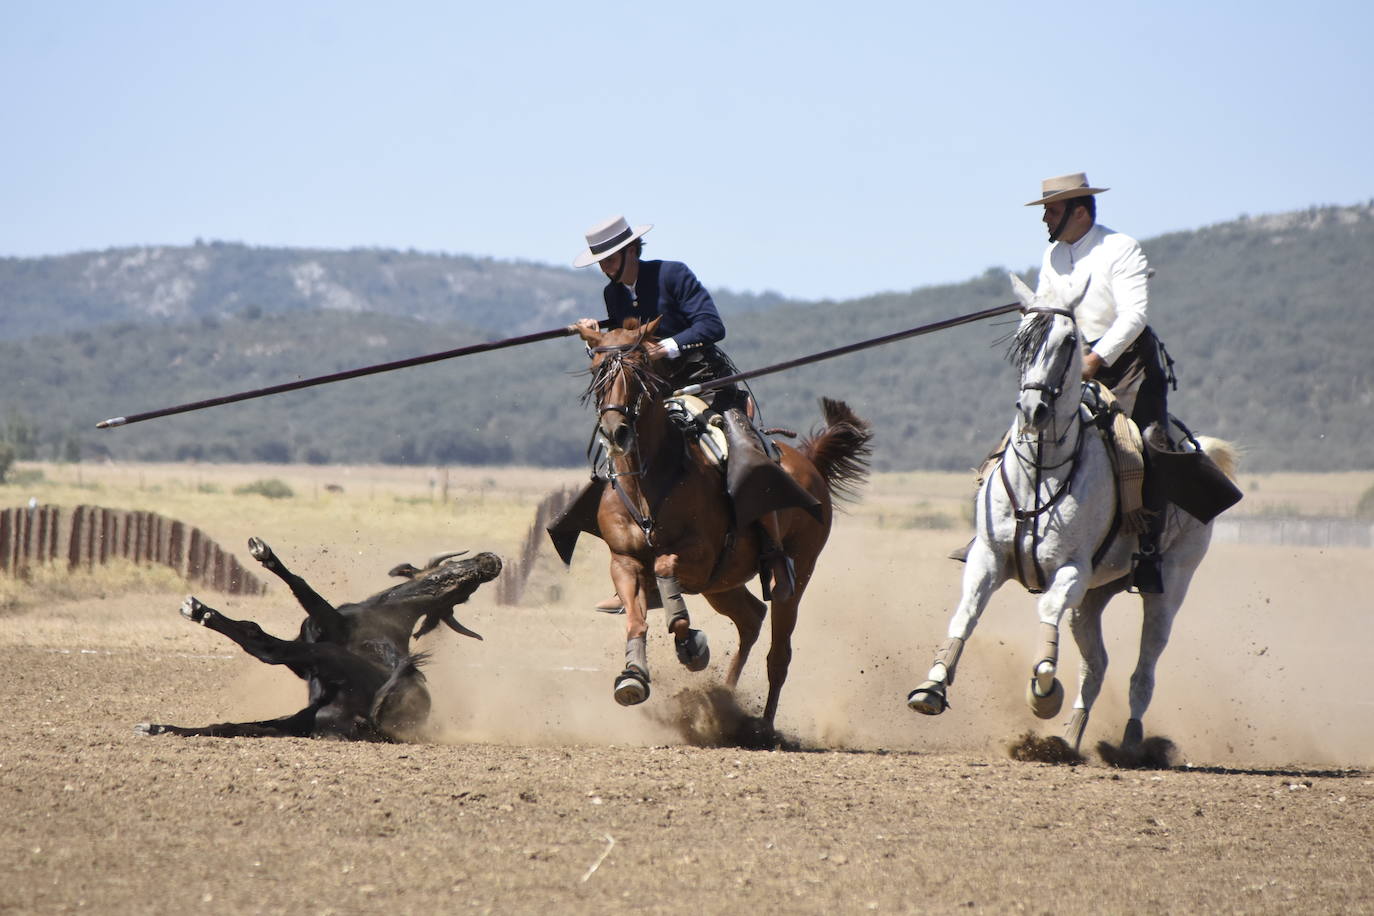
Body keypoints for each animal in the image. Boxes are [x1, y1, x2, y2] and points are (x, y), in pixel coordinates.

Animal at [136, 541, 502, 741]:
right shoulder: (308, 658)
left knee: (267, 646)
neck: (388, 613)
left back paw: (201, 612)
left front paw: (264, 553)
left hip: (327, 661)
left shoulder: (331, 625)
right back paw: (158, 728)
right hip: (297, 719)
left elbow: (304, 591)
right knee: (227, 725)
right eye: (448, 571)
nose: (491, 562)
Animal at [574, 318, 873, 741]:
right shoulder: (625, 561)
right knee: (750, 618)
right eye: (597, 372)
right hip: (722, 585)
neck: (651, 483)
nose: (616, 433)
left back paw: (763, 726)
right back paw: (725, 700)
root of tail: (809, 463)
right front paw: (633, 676)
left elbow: (665, 571)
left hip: (794, 576)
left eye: (639, 373)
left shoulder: (699, 557)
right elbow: (635, 616)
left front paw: (692, 647)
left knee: (779, 652)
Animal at [906, 276, 1242, 758]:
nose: (1034, 411)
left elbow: (1046, 609)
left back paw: (1130, 746)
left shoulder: (1071, 569)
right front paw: (931, 688)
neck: (1042, 472)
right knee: (1096, 666)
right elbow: (965, 615)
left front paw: (1043, 692)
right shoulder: (988, 559)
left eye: (1068, 340)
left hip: (1167, 590)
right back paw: (1066, 739)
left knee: (1143, 671)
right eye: (1022, 341)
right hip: (1094, 597)